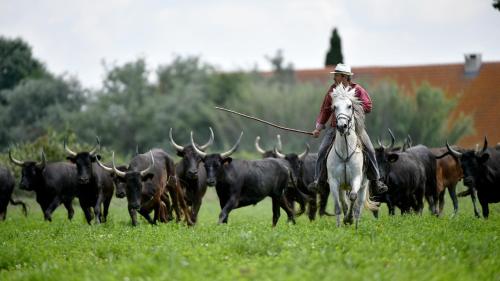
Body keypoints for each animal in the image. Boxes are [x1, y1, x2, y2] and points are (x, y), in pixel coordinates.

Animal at [326, 83, 376, 228]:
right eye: (334, 107)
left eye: (349, 106)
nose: (342, 126)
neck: (345, 153)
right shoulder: (334, 182)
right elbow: (338, 206)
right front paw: (340, 224)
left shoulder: (356, 178)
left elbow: (353, 197)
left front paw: (349, 219)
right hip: (342, 187)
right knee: (343, 201)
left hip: (364, 186)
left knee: (358, 207)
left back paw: (356, 225)